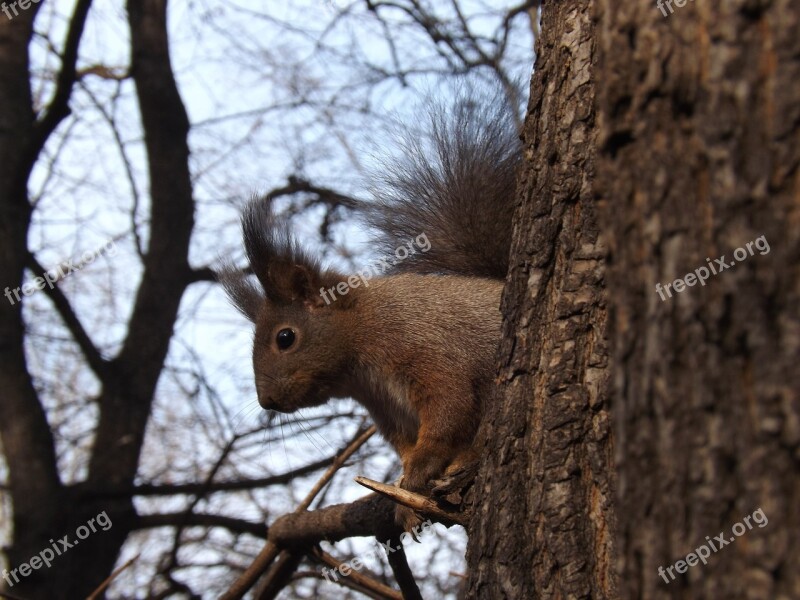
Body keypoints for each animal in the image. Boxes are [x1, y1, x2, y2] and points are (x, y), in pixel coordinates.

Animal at [220, 90, 520, 528]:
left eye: (285, 337)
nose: (267, 402)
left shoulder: (430, 353)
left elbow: (448, 409)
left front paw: (419, 472)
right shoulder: (385, 409)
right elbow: (406, 444)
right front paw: (405, 498)